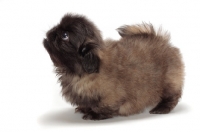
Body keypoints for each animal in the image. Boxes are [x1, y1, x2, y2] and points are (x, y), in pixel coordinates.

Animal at [43, 13, 184, 120]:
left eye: (65, 35)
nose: (51, 32)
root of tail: (162, 41)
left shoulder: (110, 97)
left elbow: (104, 106)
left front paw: (94, 114)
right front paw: (85, 109)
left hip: (169, 81)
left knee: (172, 97)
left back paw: (161, 108)